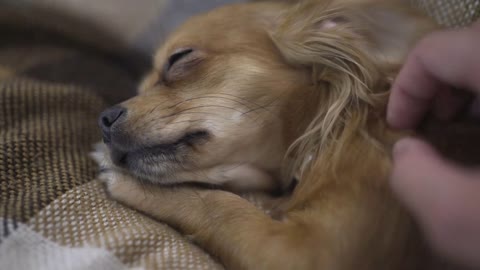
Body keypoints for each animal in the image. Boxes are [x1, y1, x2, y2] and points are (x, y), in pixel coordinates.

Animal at [92, 1, 478, 268]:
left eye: (179, 58)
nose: (104, 118)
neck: (330, 139)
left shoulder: (307, 252)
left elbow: (220, 205)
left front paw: (134, 184)